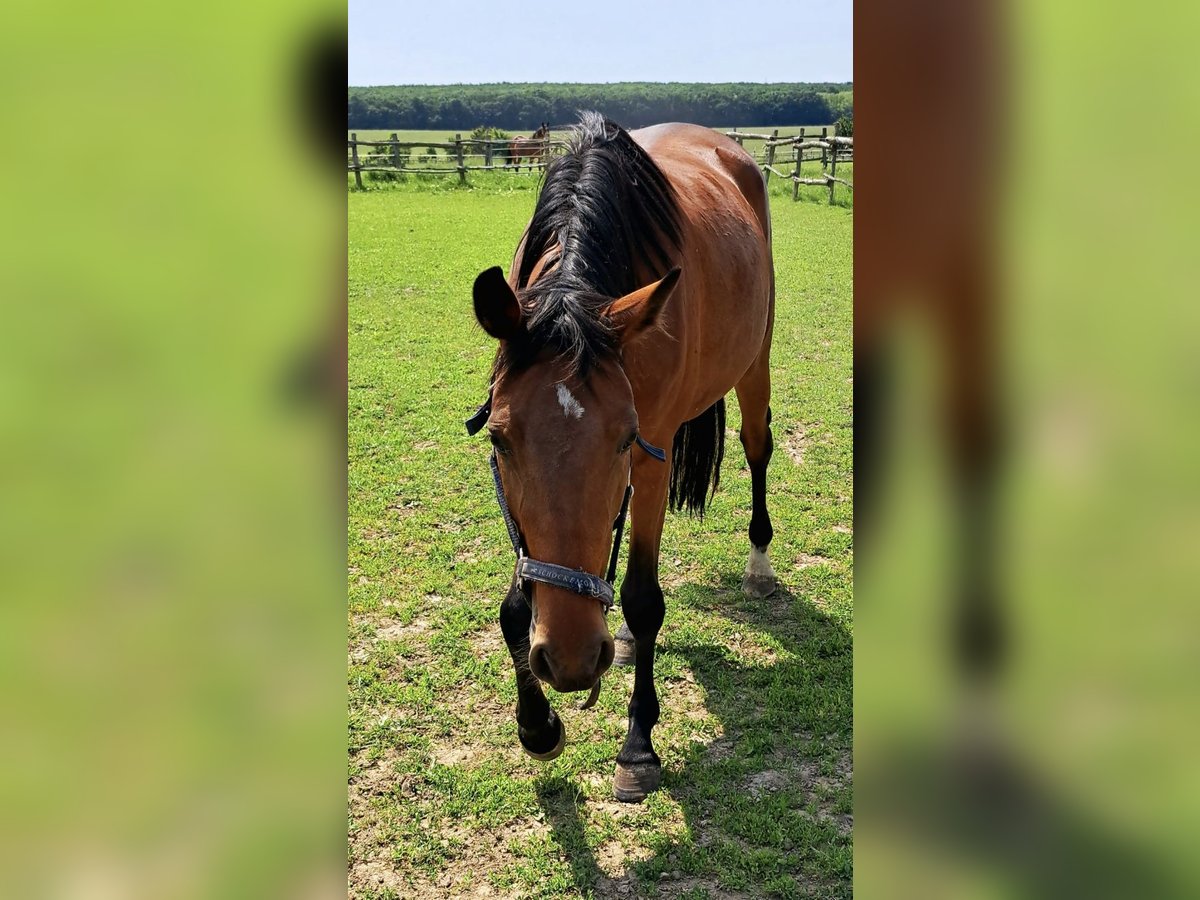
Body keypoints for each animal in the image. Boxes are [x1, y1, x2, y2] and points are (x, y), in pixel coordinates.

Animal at [463, 112, 772, 801]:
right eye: (498, 439)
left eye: (626, 437)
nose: (572, 659)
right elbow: (516, 606)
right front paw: (537, 726)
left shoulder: (650, 460)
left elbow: (643, 597)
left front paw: (638, 744)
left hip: (756, 358)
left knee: (758, 446)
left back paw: (760, 564)